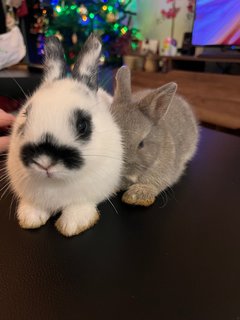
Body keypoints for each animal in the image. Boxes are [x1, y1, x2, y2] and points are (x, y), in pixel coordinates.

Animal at [6, 33, 123, 236]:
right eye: (25, 116)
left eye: (83, 125)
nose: (44, 161)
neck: (55, 184)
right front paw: (30, 218)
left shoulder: (88, 195)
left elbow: (79, 207)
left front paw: (71, 226)